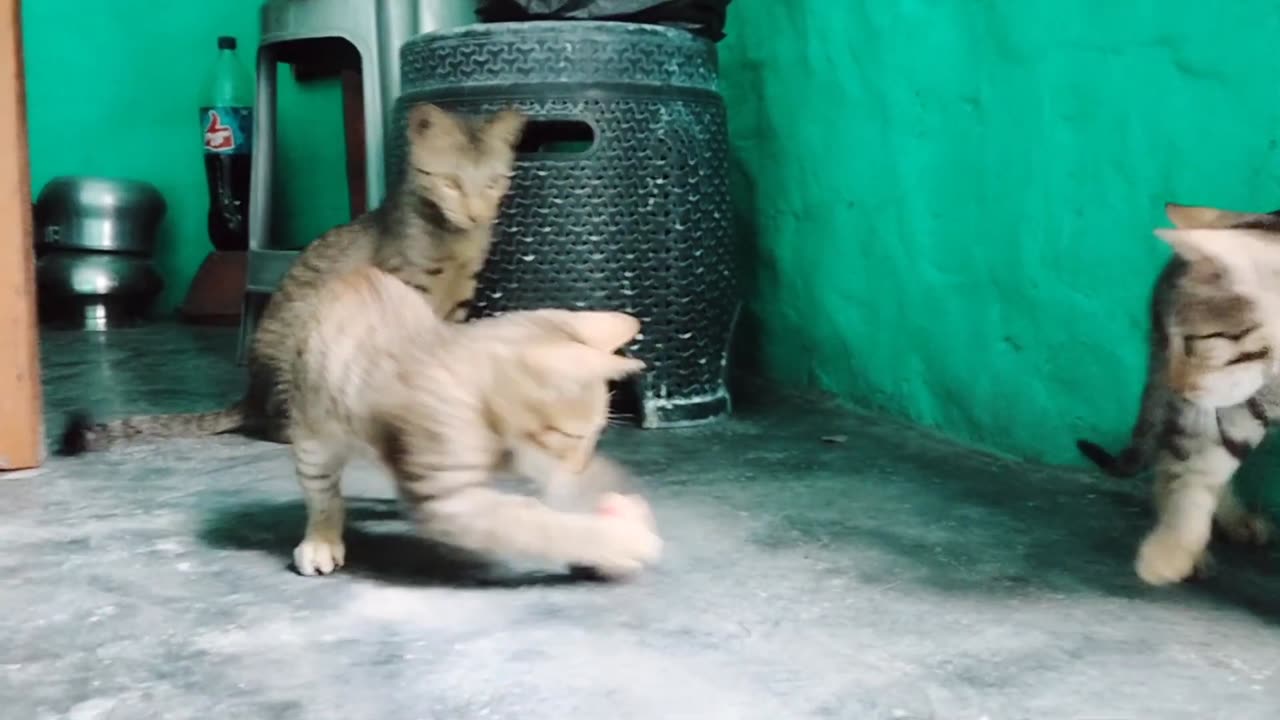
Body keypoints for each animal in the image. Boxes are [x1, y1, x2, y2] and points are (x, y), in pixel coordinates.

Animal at [60, 103, 524, 450]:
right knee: (274, 425)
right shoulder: (405, 287)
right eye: (450, 182)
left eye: (493, 183)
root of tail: (248, 393)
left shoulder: (459, 301)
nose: (476, 215)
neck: (452, 240)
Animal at [289, 265, 660, 576]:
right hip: (314, 441)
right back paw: (321, 540)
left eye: (596, 436)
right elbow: (535, 525)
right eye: (573, 436)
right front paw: (617, 540)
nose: (581, 466)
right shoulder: (447, 498)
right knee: (324, 495)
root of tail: (357, 271)